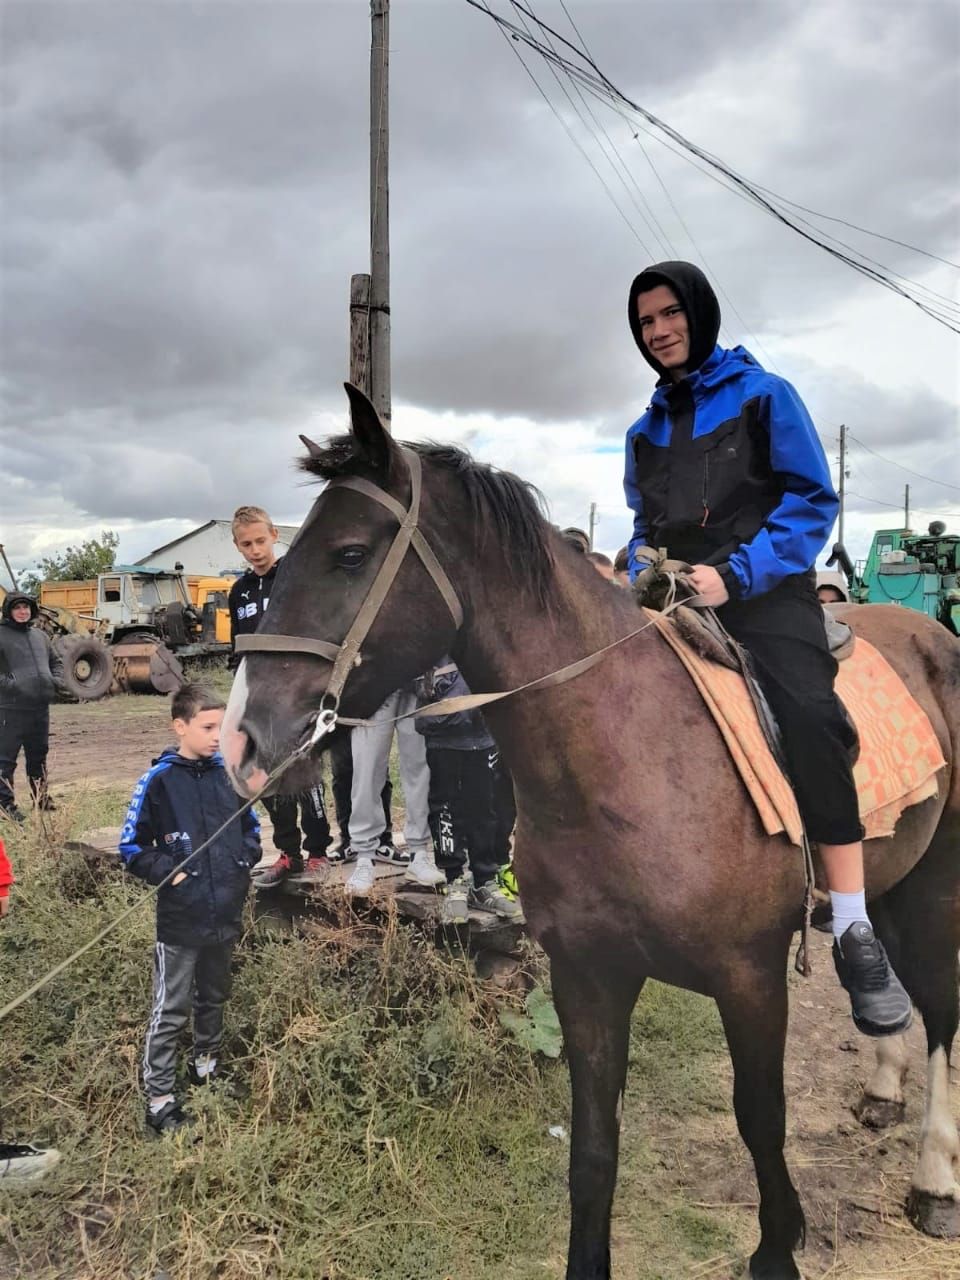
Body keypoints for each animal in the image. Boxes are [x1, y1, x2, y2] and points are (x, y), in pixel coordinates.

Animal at [221, 386, 957, 1280]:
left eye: (351, 554)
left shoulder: (751, 979)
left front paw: (778, 1245)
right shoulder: (588, 977)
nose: (242, 740)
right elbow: (594, 1150)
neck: (628, 753)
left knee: (942, 1012)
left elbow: (761, 1120)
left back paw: (934, 1182)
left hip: (939, 882)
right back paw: (881, 1091)